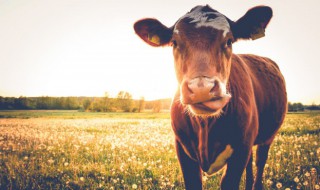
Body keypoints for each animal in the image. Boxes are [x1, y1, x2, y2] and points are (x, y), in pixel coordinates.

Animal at [134, 4, 286, 190]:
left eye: (229, 41)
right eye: (174, 43)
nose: (202, 89)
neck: (205, 127)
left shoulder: (241, 150)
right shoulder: (182, 149)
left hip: (268, 136)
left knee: (260, 161)